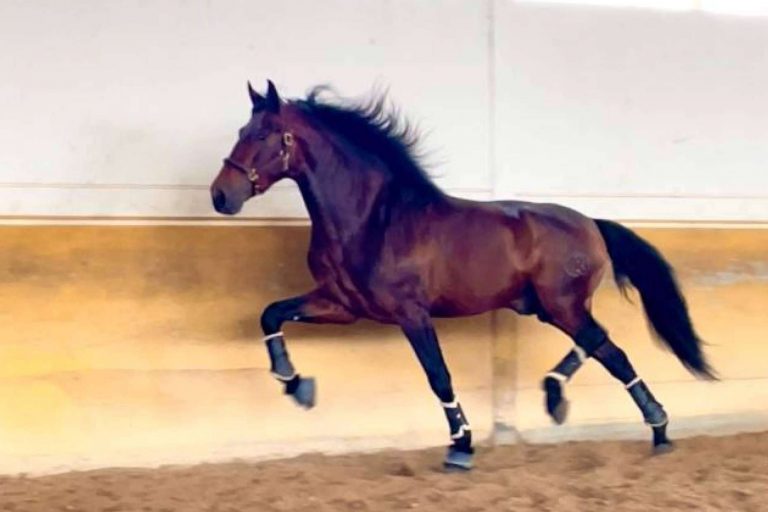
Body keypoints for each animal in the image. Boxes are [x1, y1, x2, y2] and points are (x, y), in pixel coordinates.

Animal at [209, 80, 714, 471]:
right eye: (241, 131)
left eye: (264, 134)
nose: (221, 195)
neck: (371, 218)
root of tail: (590, 223)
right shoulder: (339, 304)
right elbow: (271, 314)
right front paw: (296, 385)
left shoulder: (411, 313)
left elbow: (439, 376)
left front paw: (462, 447)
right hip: (549, 308)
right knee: (606, 348)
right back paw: (633, 423)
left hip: (562, 306)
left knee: (605, 346)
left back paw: (604, 412)